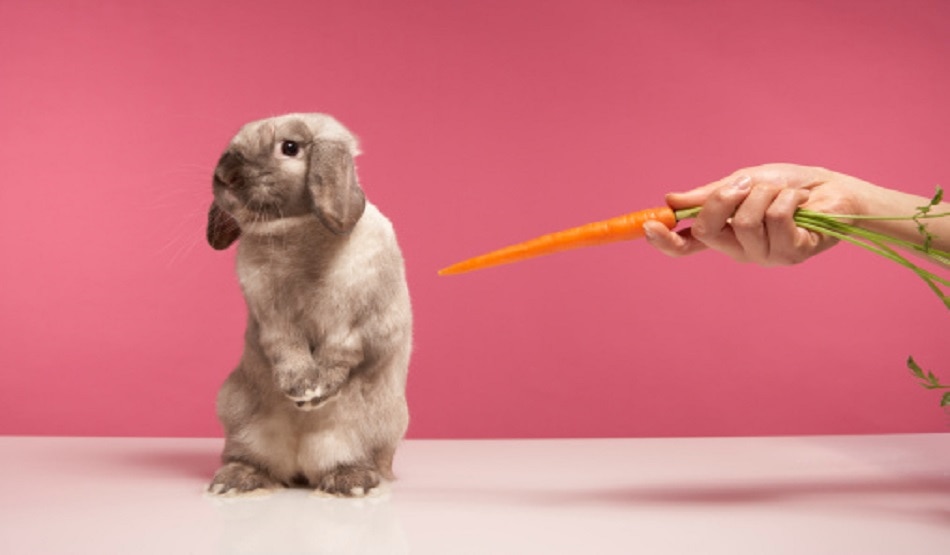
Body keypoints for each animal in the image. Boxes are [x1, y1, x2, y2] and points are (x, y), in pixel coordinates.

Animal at [205, 113, 412, 497]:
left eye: (290, 147)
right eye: (231, 146)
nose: (225, 174)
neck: (296, 234)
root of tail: (300, 466)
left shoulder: (360, 324)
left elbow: (341, 353)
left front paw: (314, 393)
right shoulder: (272, 319)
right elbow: (286, 347)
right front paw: (299, 386)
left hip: (372, 430)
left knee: (350, 459)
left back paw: (351, 481)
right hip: (239, 417)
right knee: (252, 459)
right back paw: (237, 479)